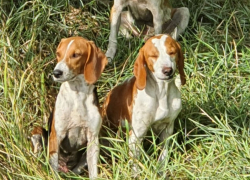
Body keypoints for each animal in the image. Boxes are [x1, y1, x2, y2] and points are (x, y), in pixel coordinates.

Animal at [48, 36, 107, 179]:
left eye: (76, 55)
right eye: (58, 54)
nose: (56, 73)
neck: (77, 94)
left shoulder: (93, 139)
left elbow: (93, 172)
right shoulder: (56, 136)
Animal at [101, 33, 186, 174]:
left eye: (172, 52)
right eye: (153, 55)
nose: (167, 70)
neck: (161, 93)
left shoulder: (167, 130)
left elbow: (163, 154)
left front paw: (161, 170)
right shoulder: (136, 136)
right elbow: (136, 162)